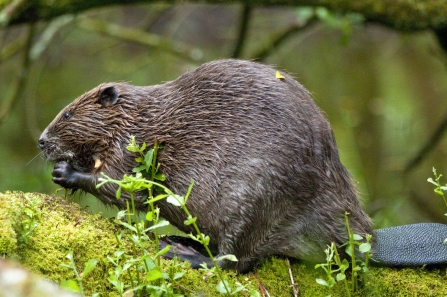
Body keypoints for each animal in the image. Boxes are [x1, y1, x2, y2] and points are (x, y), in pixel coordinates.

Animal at [38, 57, 447, 270]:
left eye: (68, 114)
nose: (42, 141)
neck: (142, 116)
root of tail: (368, 243)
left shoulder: (132, 145)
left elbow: (125, 187)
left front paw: (66, 171)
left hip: (254, 200)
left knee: (235, 260)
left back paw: (184, 251)